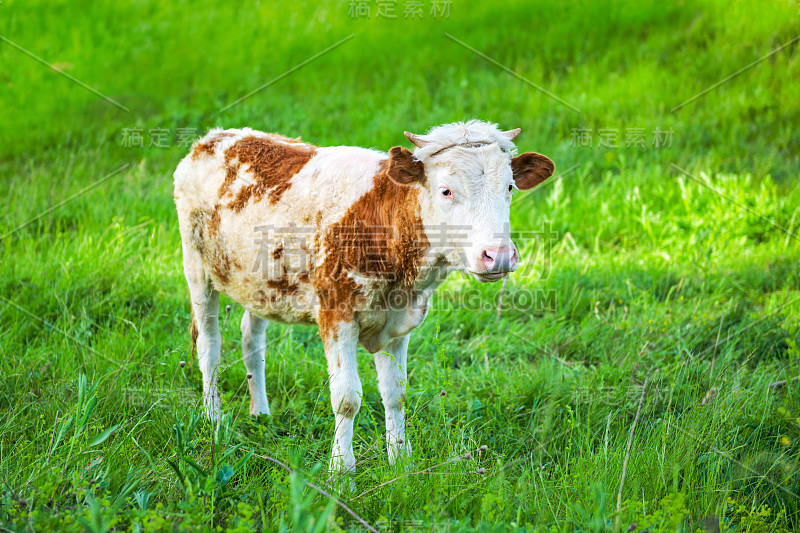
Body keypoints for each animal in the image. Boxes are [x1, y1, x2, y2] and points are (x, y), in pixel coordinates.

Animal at [173, 120, 552, 470]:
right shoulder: (336, 314)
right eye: (446, 191)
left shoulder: (399, 321)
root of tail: (215, 137)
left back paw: (260, 413)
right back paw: (214, 420)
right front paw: (342, 469)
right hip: (196, 267)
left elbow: (396, 394)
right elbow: (347, 398)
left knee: (252, 338)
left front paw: (401, 461)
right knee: (208, 345)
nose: (497, 255)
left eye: (509, 187)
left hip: (261, 284)